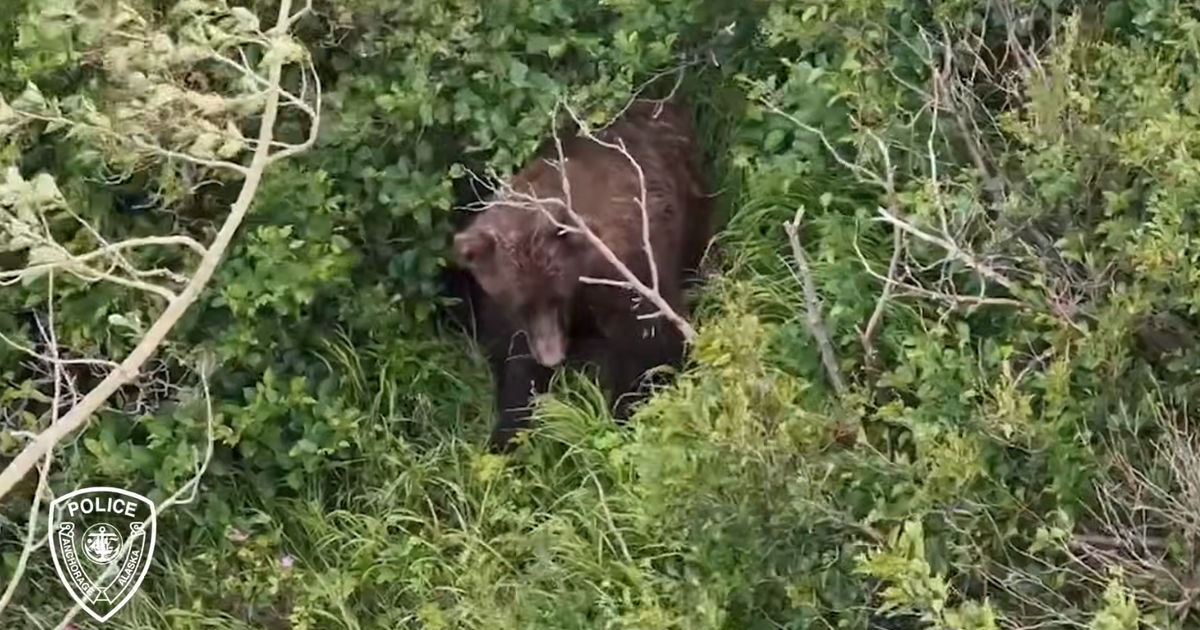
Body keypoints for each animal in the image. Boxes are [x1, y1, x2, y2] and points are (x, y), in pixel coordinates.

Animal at [450, 96, 713, 453]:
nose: (551, 357)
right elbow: (514, 362)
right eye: (519, 304)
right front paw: (507, 433)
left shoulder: (625, 270)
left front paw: (627, 410)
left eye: (556, 297)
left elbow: (651, 341)